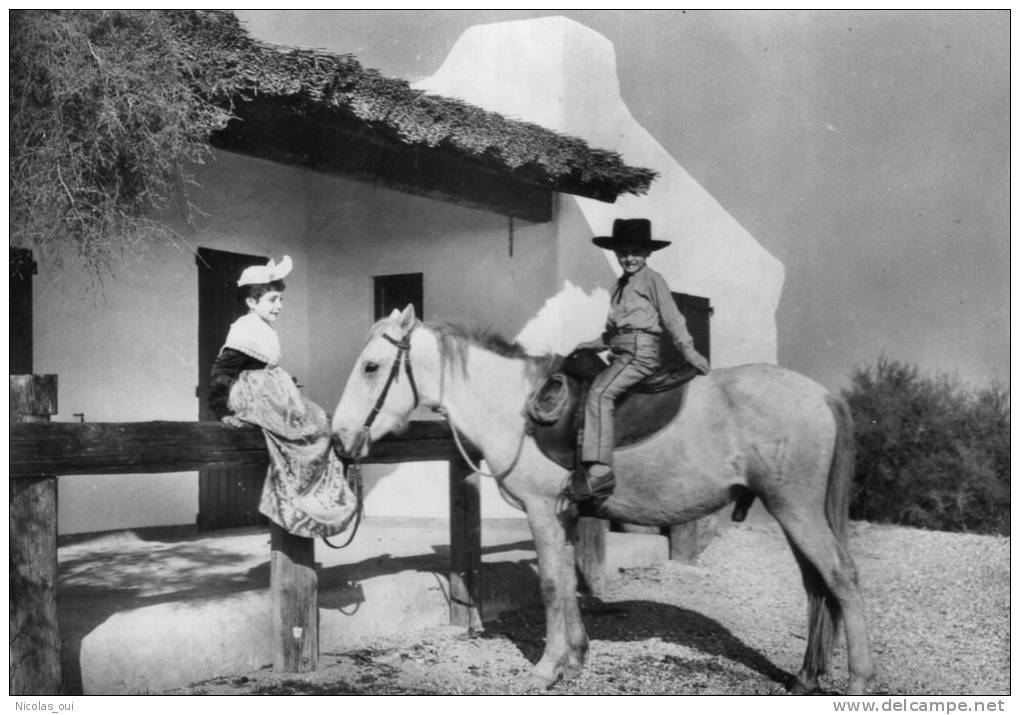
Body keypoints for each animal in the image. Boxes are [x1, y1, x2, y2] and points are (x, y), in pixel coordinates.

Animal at [330, 301, 873, 693]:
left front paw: (546, 668)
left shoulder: (542, 512)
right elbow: (569, 584)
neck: (514, 406)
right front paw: (573, 660)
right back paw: (806, 677)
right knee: (816, 585)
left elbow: (552, 585)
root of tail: (821, 395)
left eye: (371, 366)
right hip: (794, 512)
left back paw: (859, 681)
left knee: (841, 578)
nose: (339, 439)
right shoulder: (566, 516)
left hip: (796, 509)